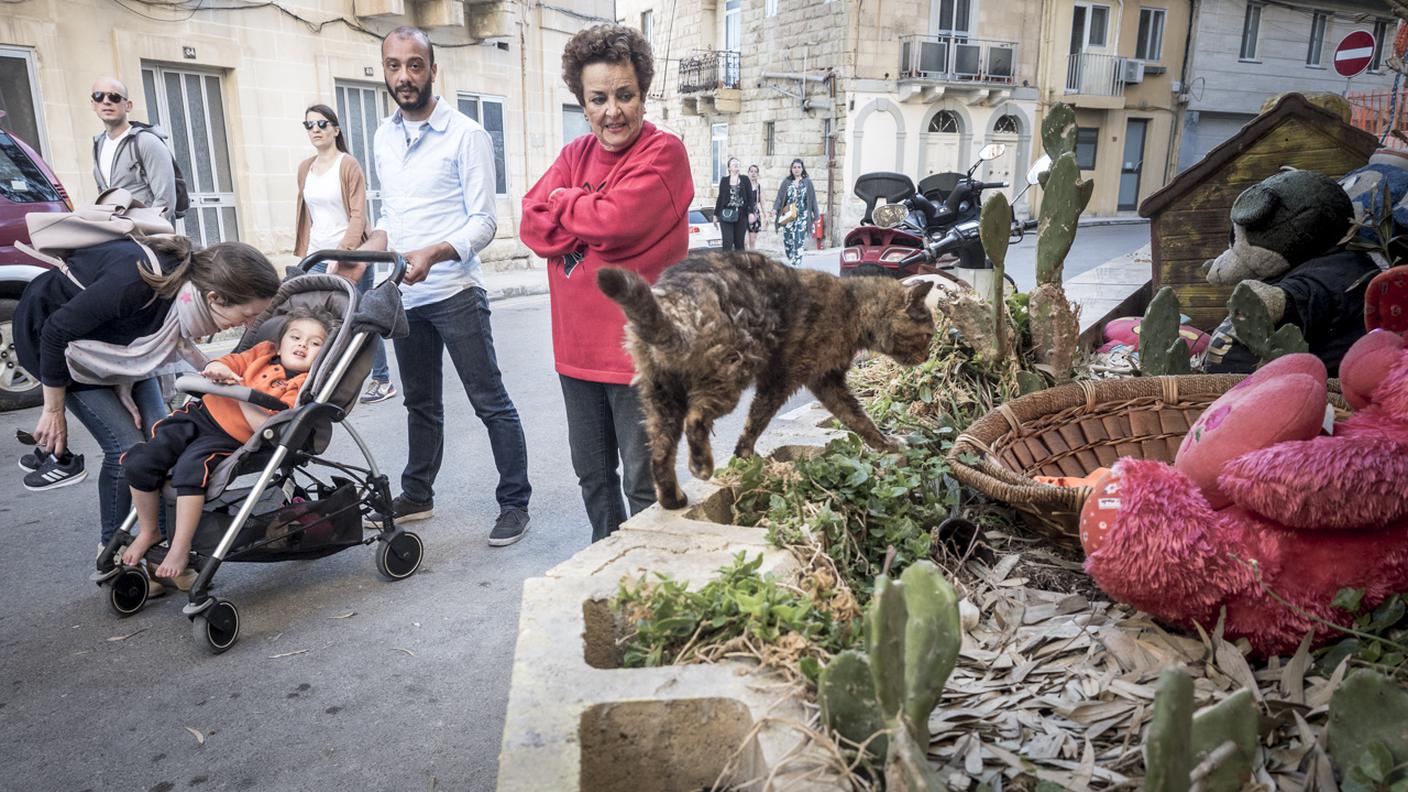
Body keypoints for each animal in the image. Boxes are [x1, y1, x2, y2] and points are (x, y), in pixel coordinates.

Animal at [596, 253, 934, 512]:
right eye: (929, 334)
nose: (930, 355)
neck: (853, 306)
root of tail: (674, 296)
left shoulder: (827, 382)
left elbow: (858, 419)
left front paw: (886, 444)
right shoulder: (783, 379)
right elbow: (757, 420)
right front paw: (744, 456)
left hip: (662, 396)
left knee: (660, 452)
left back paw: (672, 498)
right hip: (730, 374)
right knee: (696, 420)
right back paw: (702, 466)